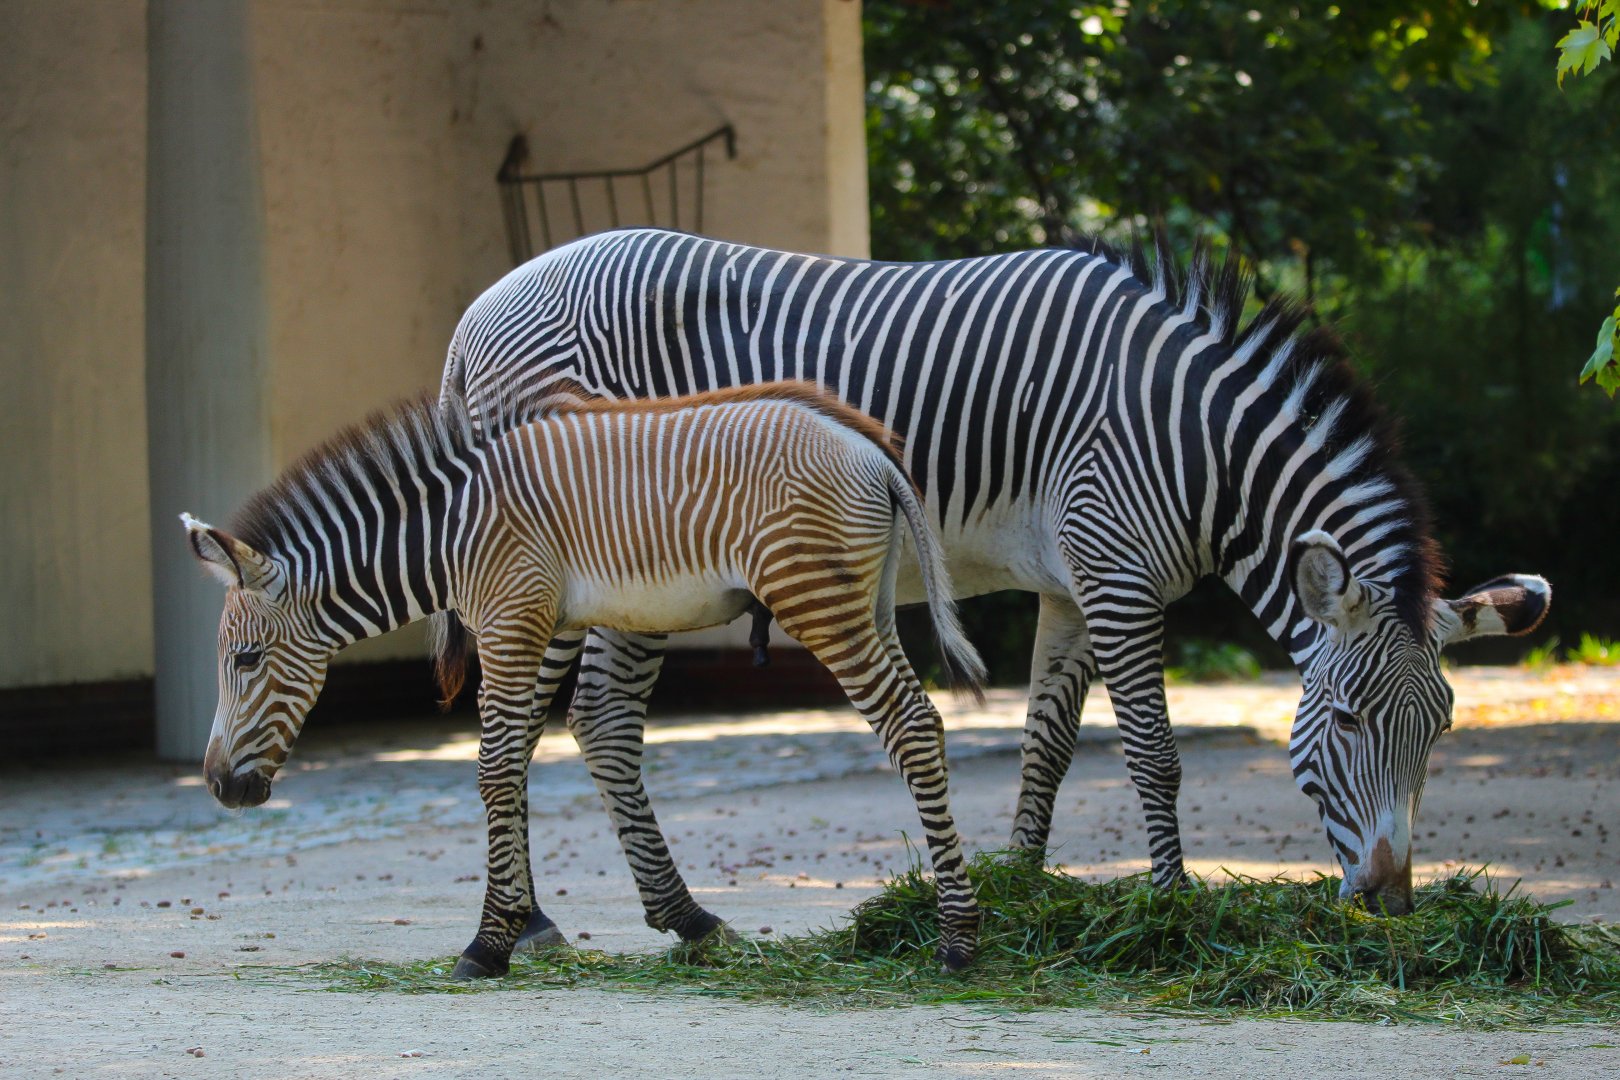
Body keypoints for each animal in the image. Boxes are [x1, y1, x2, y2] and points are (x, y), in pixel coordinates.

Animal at [183, 382, 988, 977]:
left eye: (245, 661)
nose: (218, 786)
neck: (452, 531)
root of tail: (869, 446)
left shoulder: (509, 620)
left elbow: (494, 767)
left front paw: (488, 943)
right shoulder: (530, 625)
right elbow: (517, 758)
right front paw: (520, 926)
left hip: (818, 602)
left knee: (912, 726)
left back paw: (958, 939)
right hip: (866, 603)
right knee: (919, 722)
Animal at [441, 227, 1551, 938]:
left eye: (1442, 728)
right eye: (1352, 722)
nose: (1394, 904)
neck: (1195, 441)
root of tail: (480, 306)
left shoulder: (1073, 586)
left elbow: (1048, 749)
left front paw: (1021, 886)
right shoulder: (1119, 577)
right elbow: (1153, 756)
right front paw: (1172, 906)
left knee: (573, 722)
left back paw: (614, 916)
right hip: (585, 549)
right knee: (562, 721)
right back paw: (565, 921)